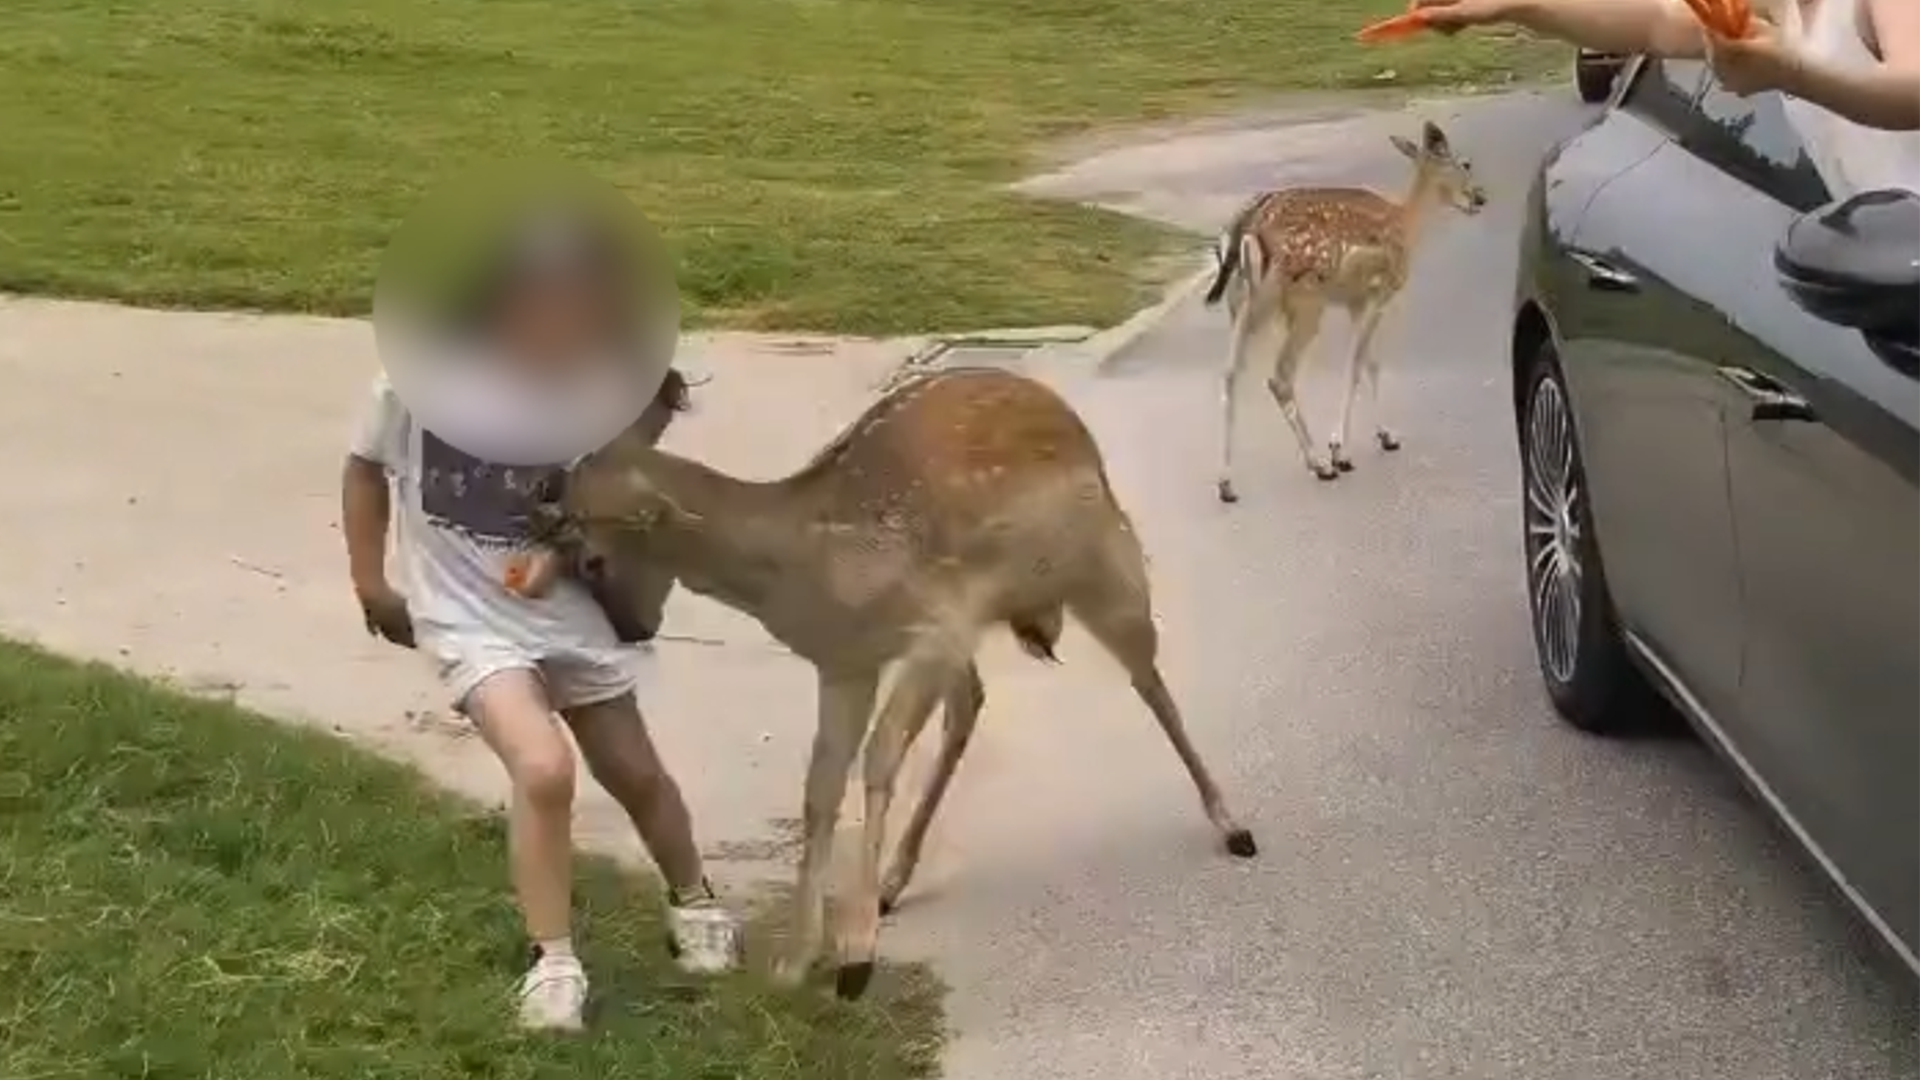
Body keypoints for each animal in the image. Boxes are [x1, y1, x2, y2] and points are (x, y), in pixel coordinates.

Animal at [517, 365, 1258, 1000]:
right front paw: (796, 961)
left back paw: (1234, 825)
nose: (631, 629)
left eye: (591, 556)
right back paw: (895, 881)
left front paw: (855, 959)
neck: (810, 569)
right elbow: (820, 786)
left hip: (1104, 560)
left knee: (1147, 677)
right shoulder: (847, 661)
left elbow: (877, 762)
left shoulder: (930, 627)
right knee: (974, 702)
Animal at [1204, 119, 1488, 505]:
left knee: (1231, 371)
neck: (1407, 227)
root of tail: (1246, 226)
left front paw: (1386, 436)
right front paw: (1341, 450)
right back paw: (1319, 464)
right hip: (1304, 298)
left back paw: (1226, 483)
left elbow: (1371, 362)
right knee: (1280, 375)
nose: (1479, 198)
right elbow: (1356, 363)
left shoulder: (1355, 300)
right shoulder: (1378, 292)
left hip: (1242, 301)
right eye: (1466, 163)